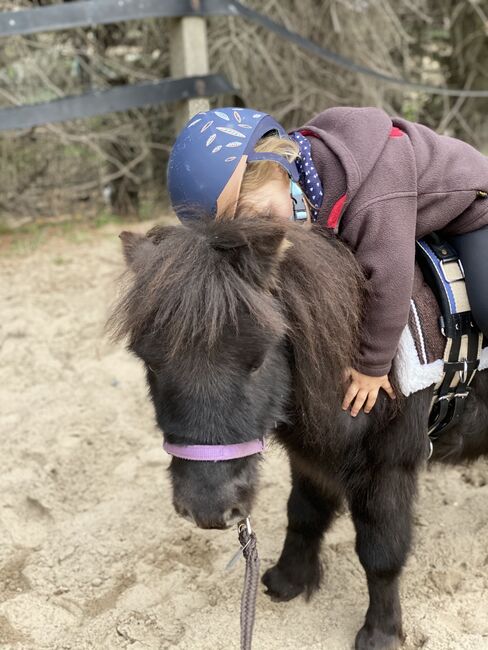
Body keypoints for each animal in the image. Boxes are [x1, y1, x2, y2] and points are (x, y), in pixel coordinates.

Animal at [109, 216, 488, 648]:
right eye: (152, 364)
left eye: (257, 361)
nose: (207, 509)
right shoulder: (311, 456)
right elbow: (304, 515)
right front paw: (286, 581)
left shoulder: (389, 466)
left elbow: (381, 550)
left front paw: (380, 632)